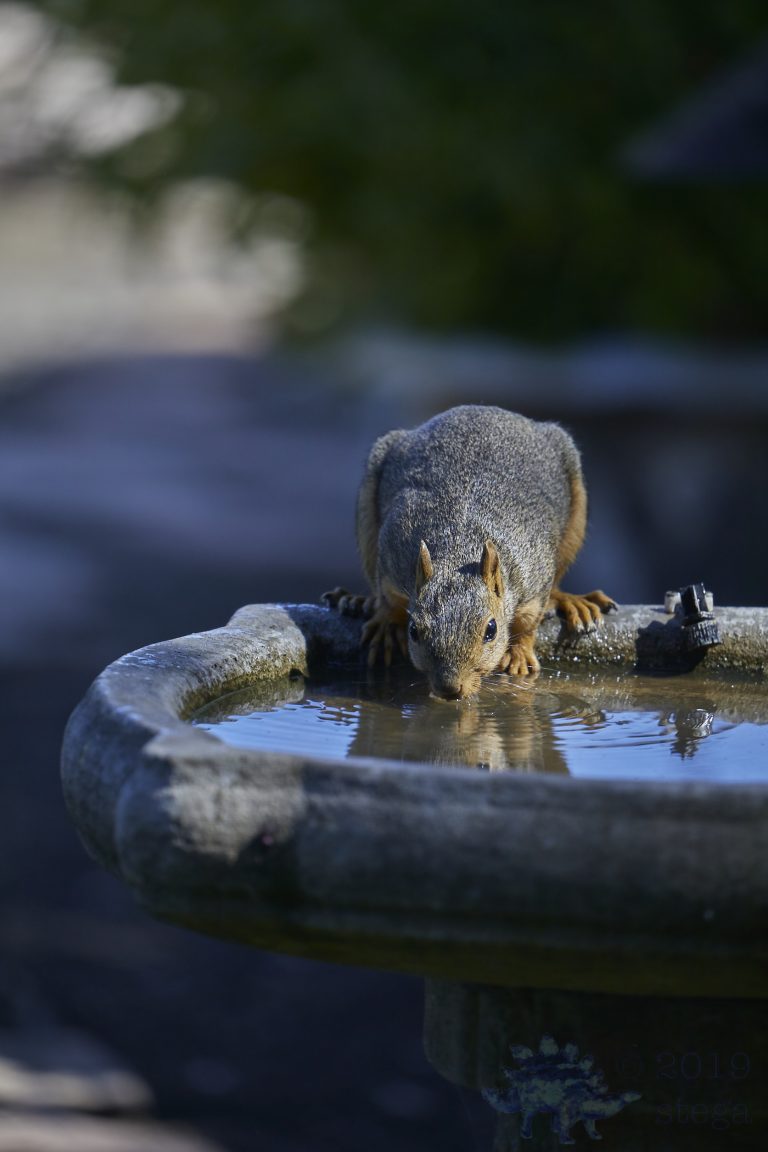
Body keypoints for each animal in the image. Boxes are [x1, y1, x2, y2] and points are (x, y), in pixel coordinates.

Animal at [324, 405, 615, 699]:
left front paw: (519, 654)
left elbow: (528, 621)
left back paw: (570, 601)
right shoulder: (391, 552)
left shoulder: (534, 571)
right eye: (413, 630)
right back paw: (358, 601)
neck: (459, 547)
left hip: (575, 506)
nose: (450, 689)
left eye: (491, 630)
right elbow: (388, 597)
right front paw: (385, 624)